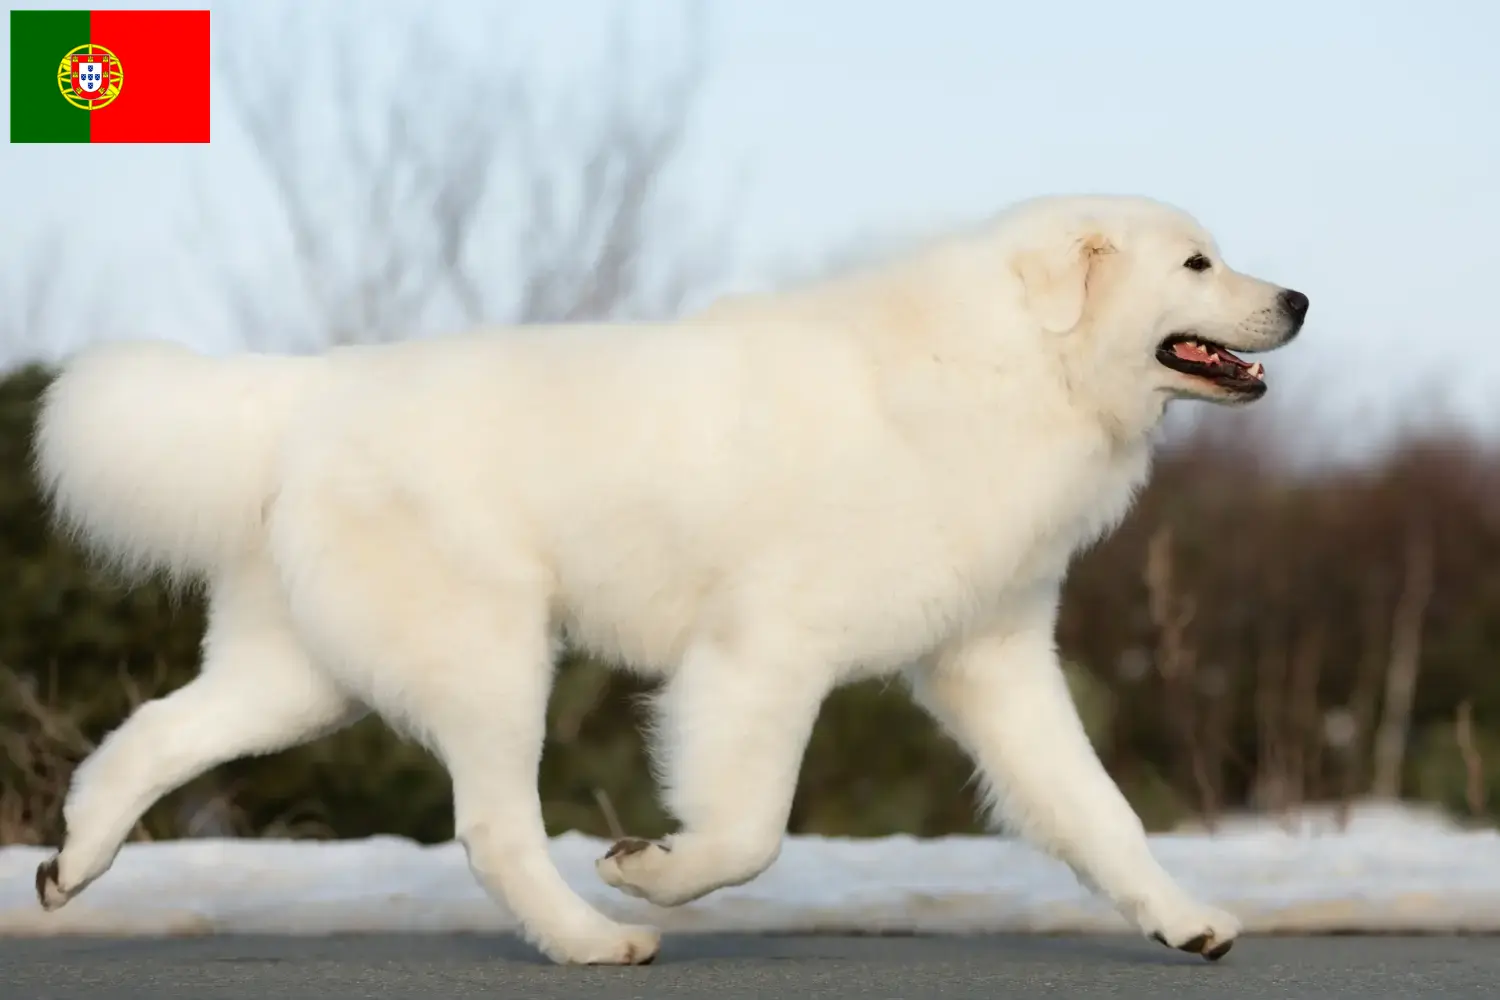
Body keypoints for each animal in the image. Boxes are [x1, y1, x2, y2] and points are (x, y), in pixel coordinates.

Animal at [32, 191, 1302, 965]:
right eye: (1196, 261)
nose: (1297, 298)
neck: (1013, 368)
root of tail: (313, 388)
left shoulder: (995, 662)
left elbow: (1100, 811)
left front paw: (1184, 920)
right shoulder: (765, 654)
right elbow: (751, 831)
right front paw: (652, 872)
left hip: (306, 673)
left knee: (150, 735)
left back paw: (70, 862)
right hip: (491, 656)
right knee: (492, 827)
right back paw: (597, 939)